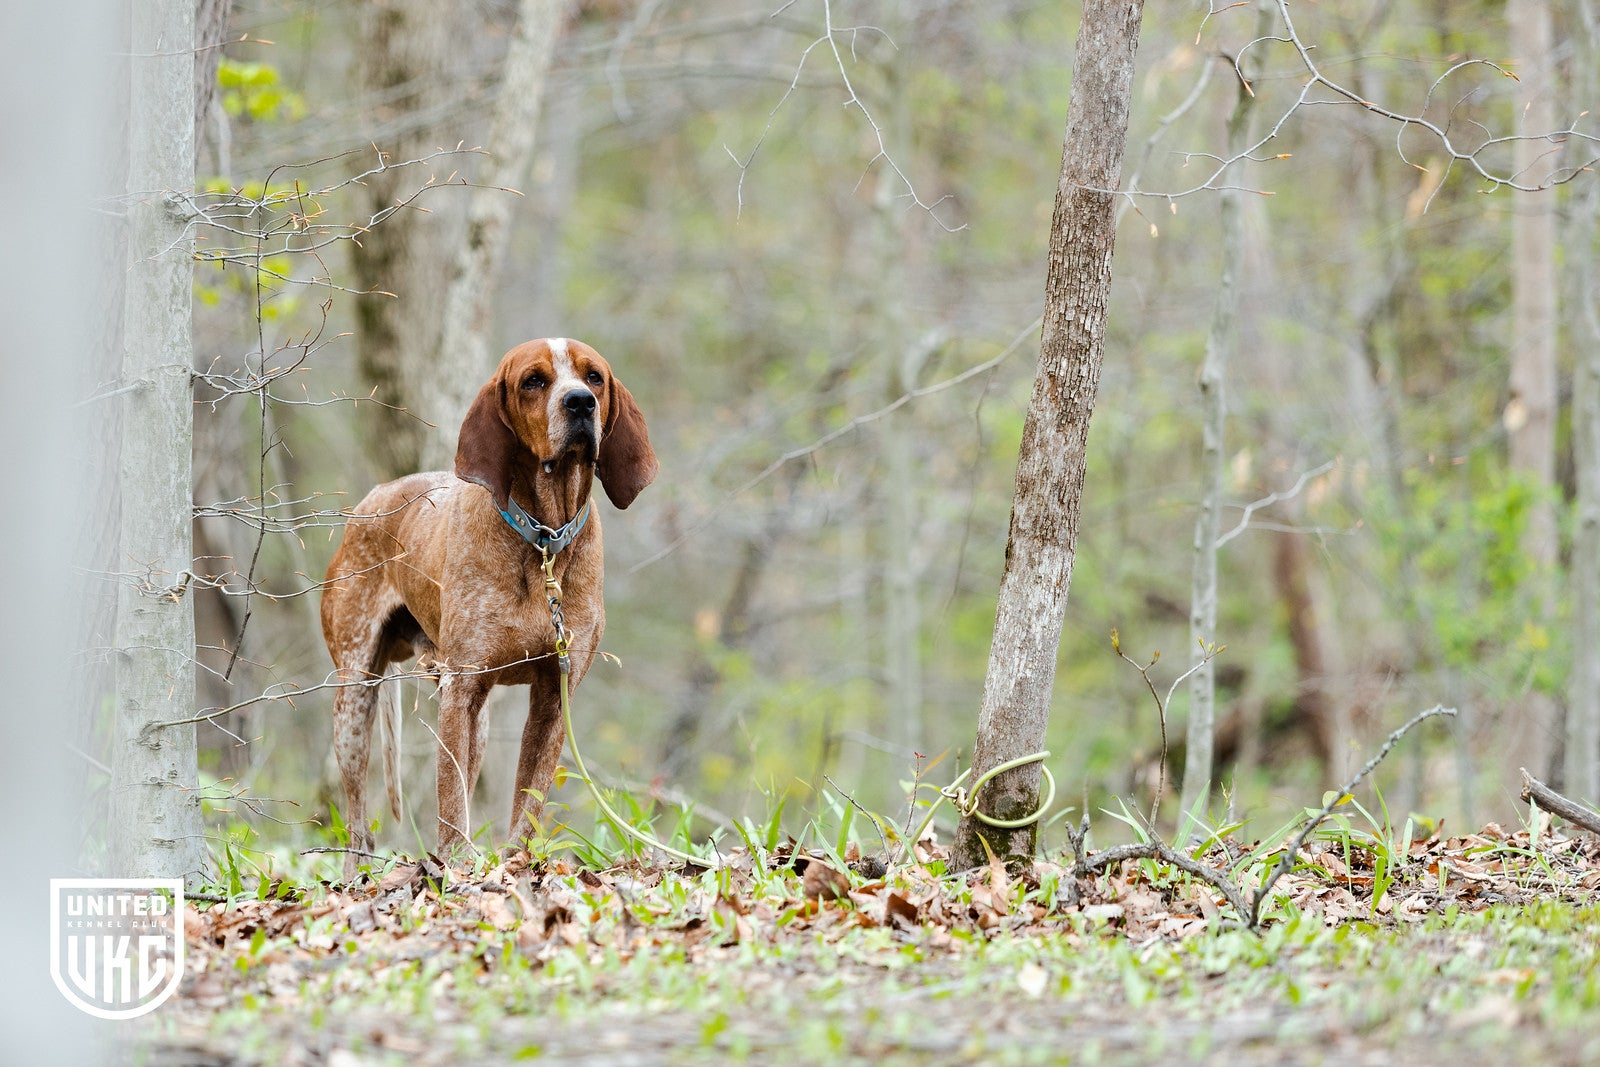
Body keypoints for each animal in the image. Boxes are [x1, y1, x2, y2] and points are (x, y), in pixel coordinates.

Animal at [320, 335, 656, 876]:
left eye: (595, 377)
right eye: (533, 381)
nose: (580, 403)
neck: (543, 541)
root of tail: (373, 498)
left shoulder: (553, 697)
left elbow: (529, 801)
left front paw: (516, 863)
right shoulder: (462, 689)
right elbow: (450, 798)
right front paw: (458, 866)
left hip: (473, 720)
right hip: (355, 699)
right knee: (356, 821)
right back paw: (357, 877)